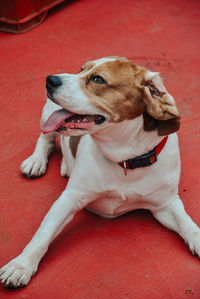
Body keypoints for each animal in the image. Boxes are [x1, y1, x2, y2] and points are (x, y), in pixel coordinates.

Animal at [0, 56, 199, 288]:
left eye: (98, 79)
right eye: (80, 69)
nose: (50, 80)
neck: (125, 159)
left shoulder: (165, 204)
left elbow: (188, 224)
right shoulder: (70, 199)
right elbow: (43, 233)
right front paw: (21, 265)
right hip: (48, 114)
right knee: (46, 138)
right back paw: (37, 161)